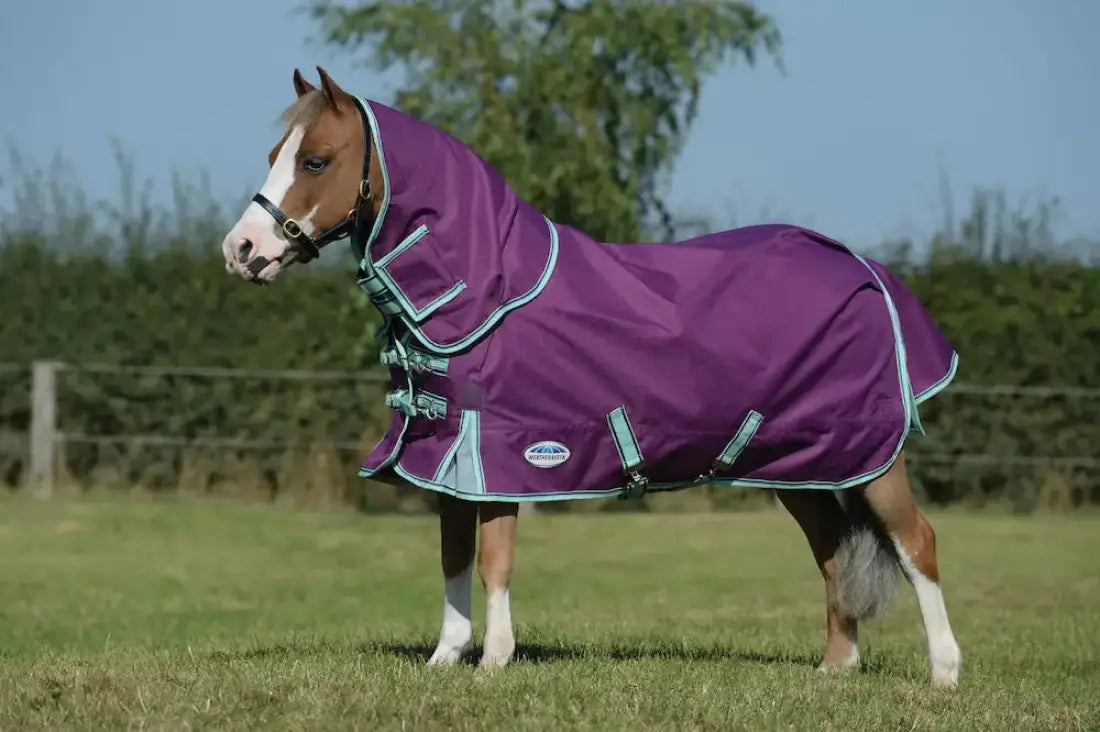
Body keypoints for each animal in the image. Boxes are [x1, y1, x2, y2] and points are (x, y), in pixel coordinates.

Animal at [220, 67, 963, 688]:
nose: (241, 250)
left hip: (871, 458)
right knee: (833, 550)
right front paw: (445, 659)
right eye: (274, 156)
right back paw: (835, 668)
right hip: (801, 464)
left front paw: (494, 662)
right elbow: (454, 557)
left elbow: (493, 561)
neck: (489, 289)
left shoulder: (499, 455)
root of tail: (865, 270)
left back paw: (944, 674)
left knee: (917, 542)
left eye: (316, 160)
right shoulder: (450, 454)